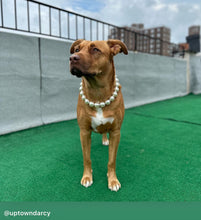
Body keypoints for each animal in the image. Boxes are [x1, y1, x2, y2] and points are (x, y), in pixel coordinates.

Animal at [70, 39, 128, 191]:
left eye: (95, 49)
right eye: (77, 49)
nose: (72, 58)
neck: (98, 93)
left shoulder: (116, 132)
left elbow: (111, 160)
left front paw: (112, 180)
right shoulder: (84, 132)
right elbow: (87, 158)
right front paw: (87, 177)